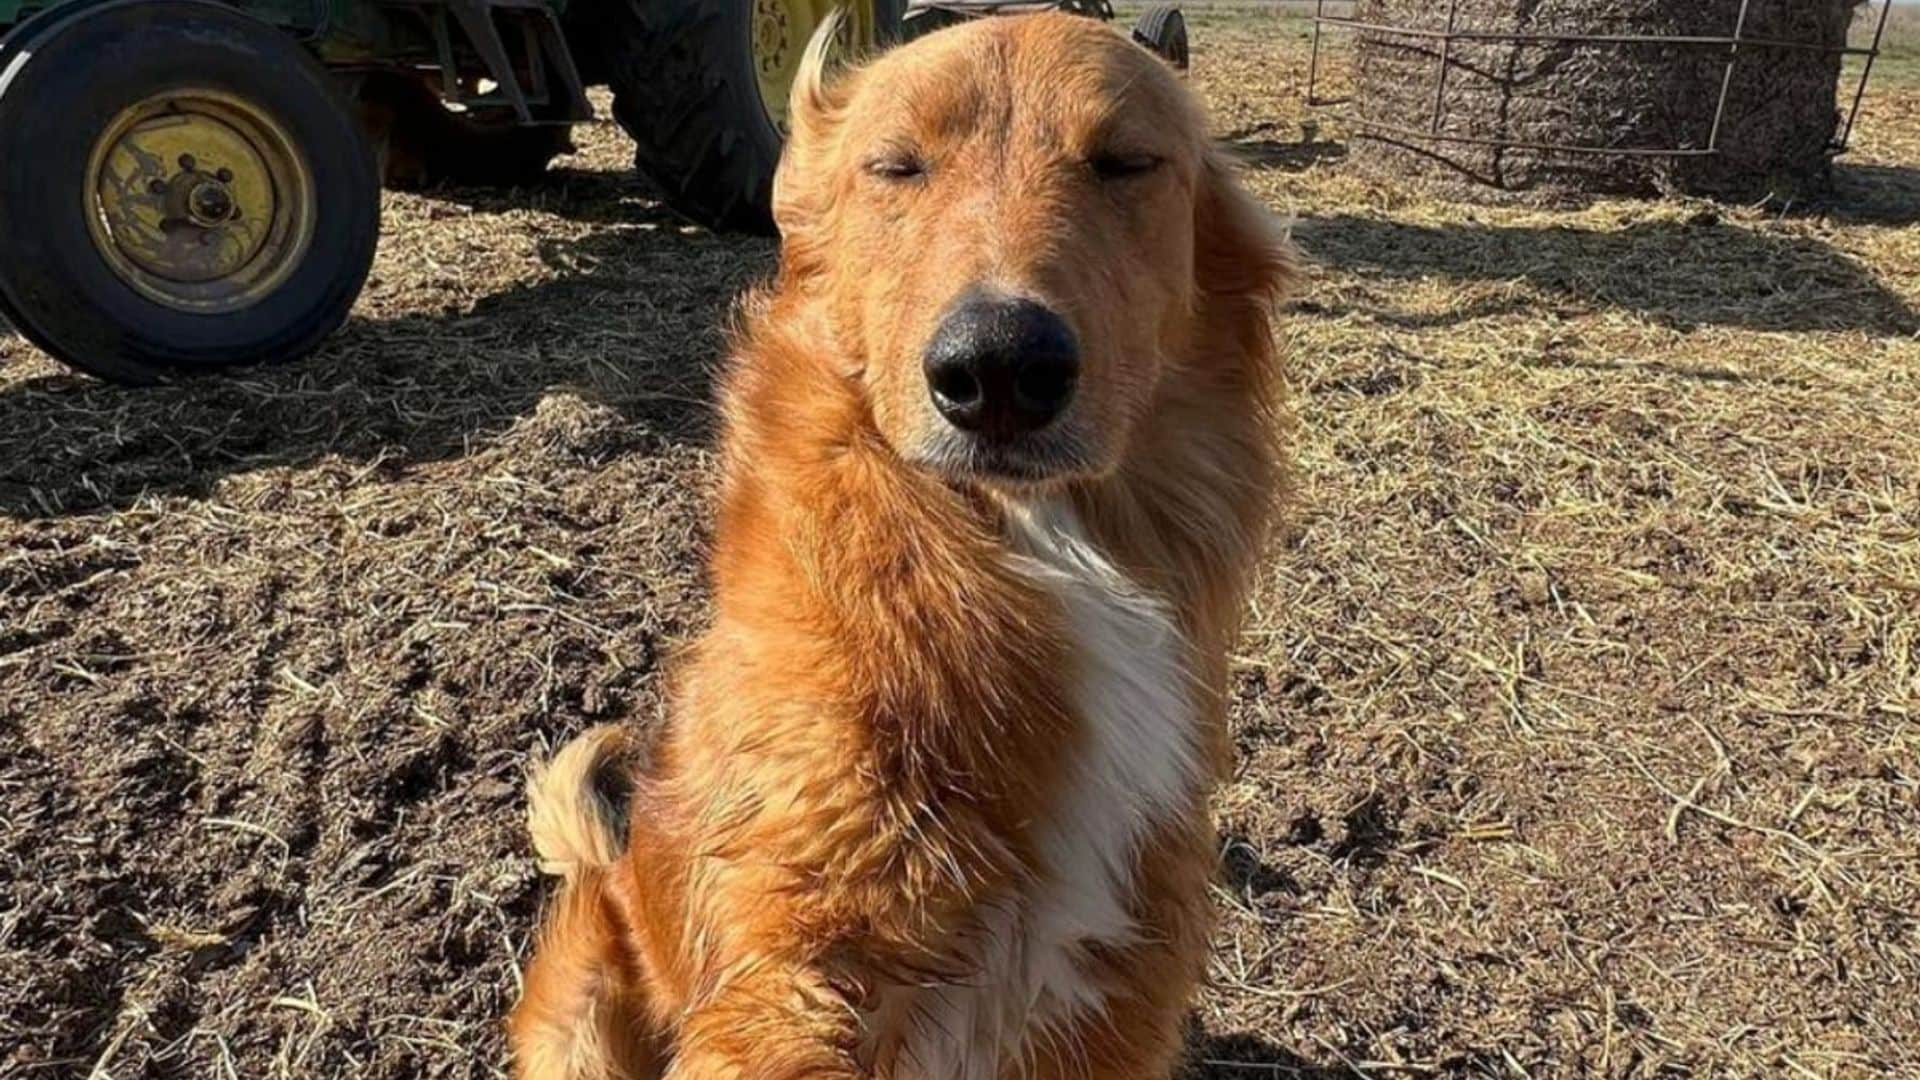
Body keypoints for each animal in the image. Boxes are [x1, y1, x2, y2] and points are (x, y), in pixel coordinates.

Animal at [506, 10, 1290, 1076]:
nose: (998, 369)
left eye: (1125, 162)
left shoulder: (1121, 992)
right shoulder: (788, 989)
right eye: (895, 166)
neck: (1027, 548)